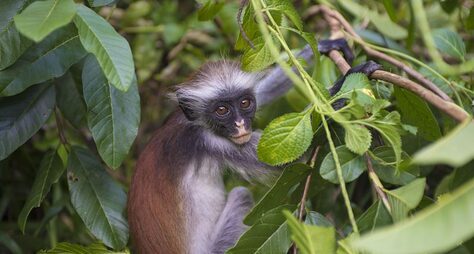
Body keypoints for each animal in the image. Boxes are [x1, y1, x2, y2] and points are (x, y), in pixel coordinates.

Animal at [128, 40, 380, 254]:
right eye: (222, 110)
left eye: (245, 103)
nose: (240, 124)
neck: (195, 125)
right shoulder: (212, 142)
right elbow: (287, 158)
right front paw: (345, 84)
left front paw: (319, 47)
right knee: (241, 194)